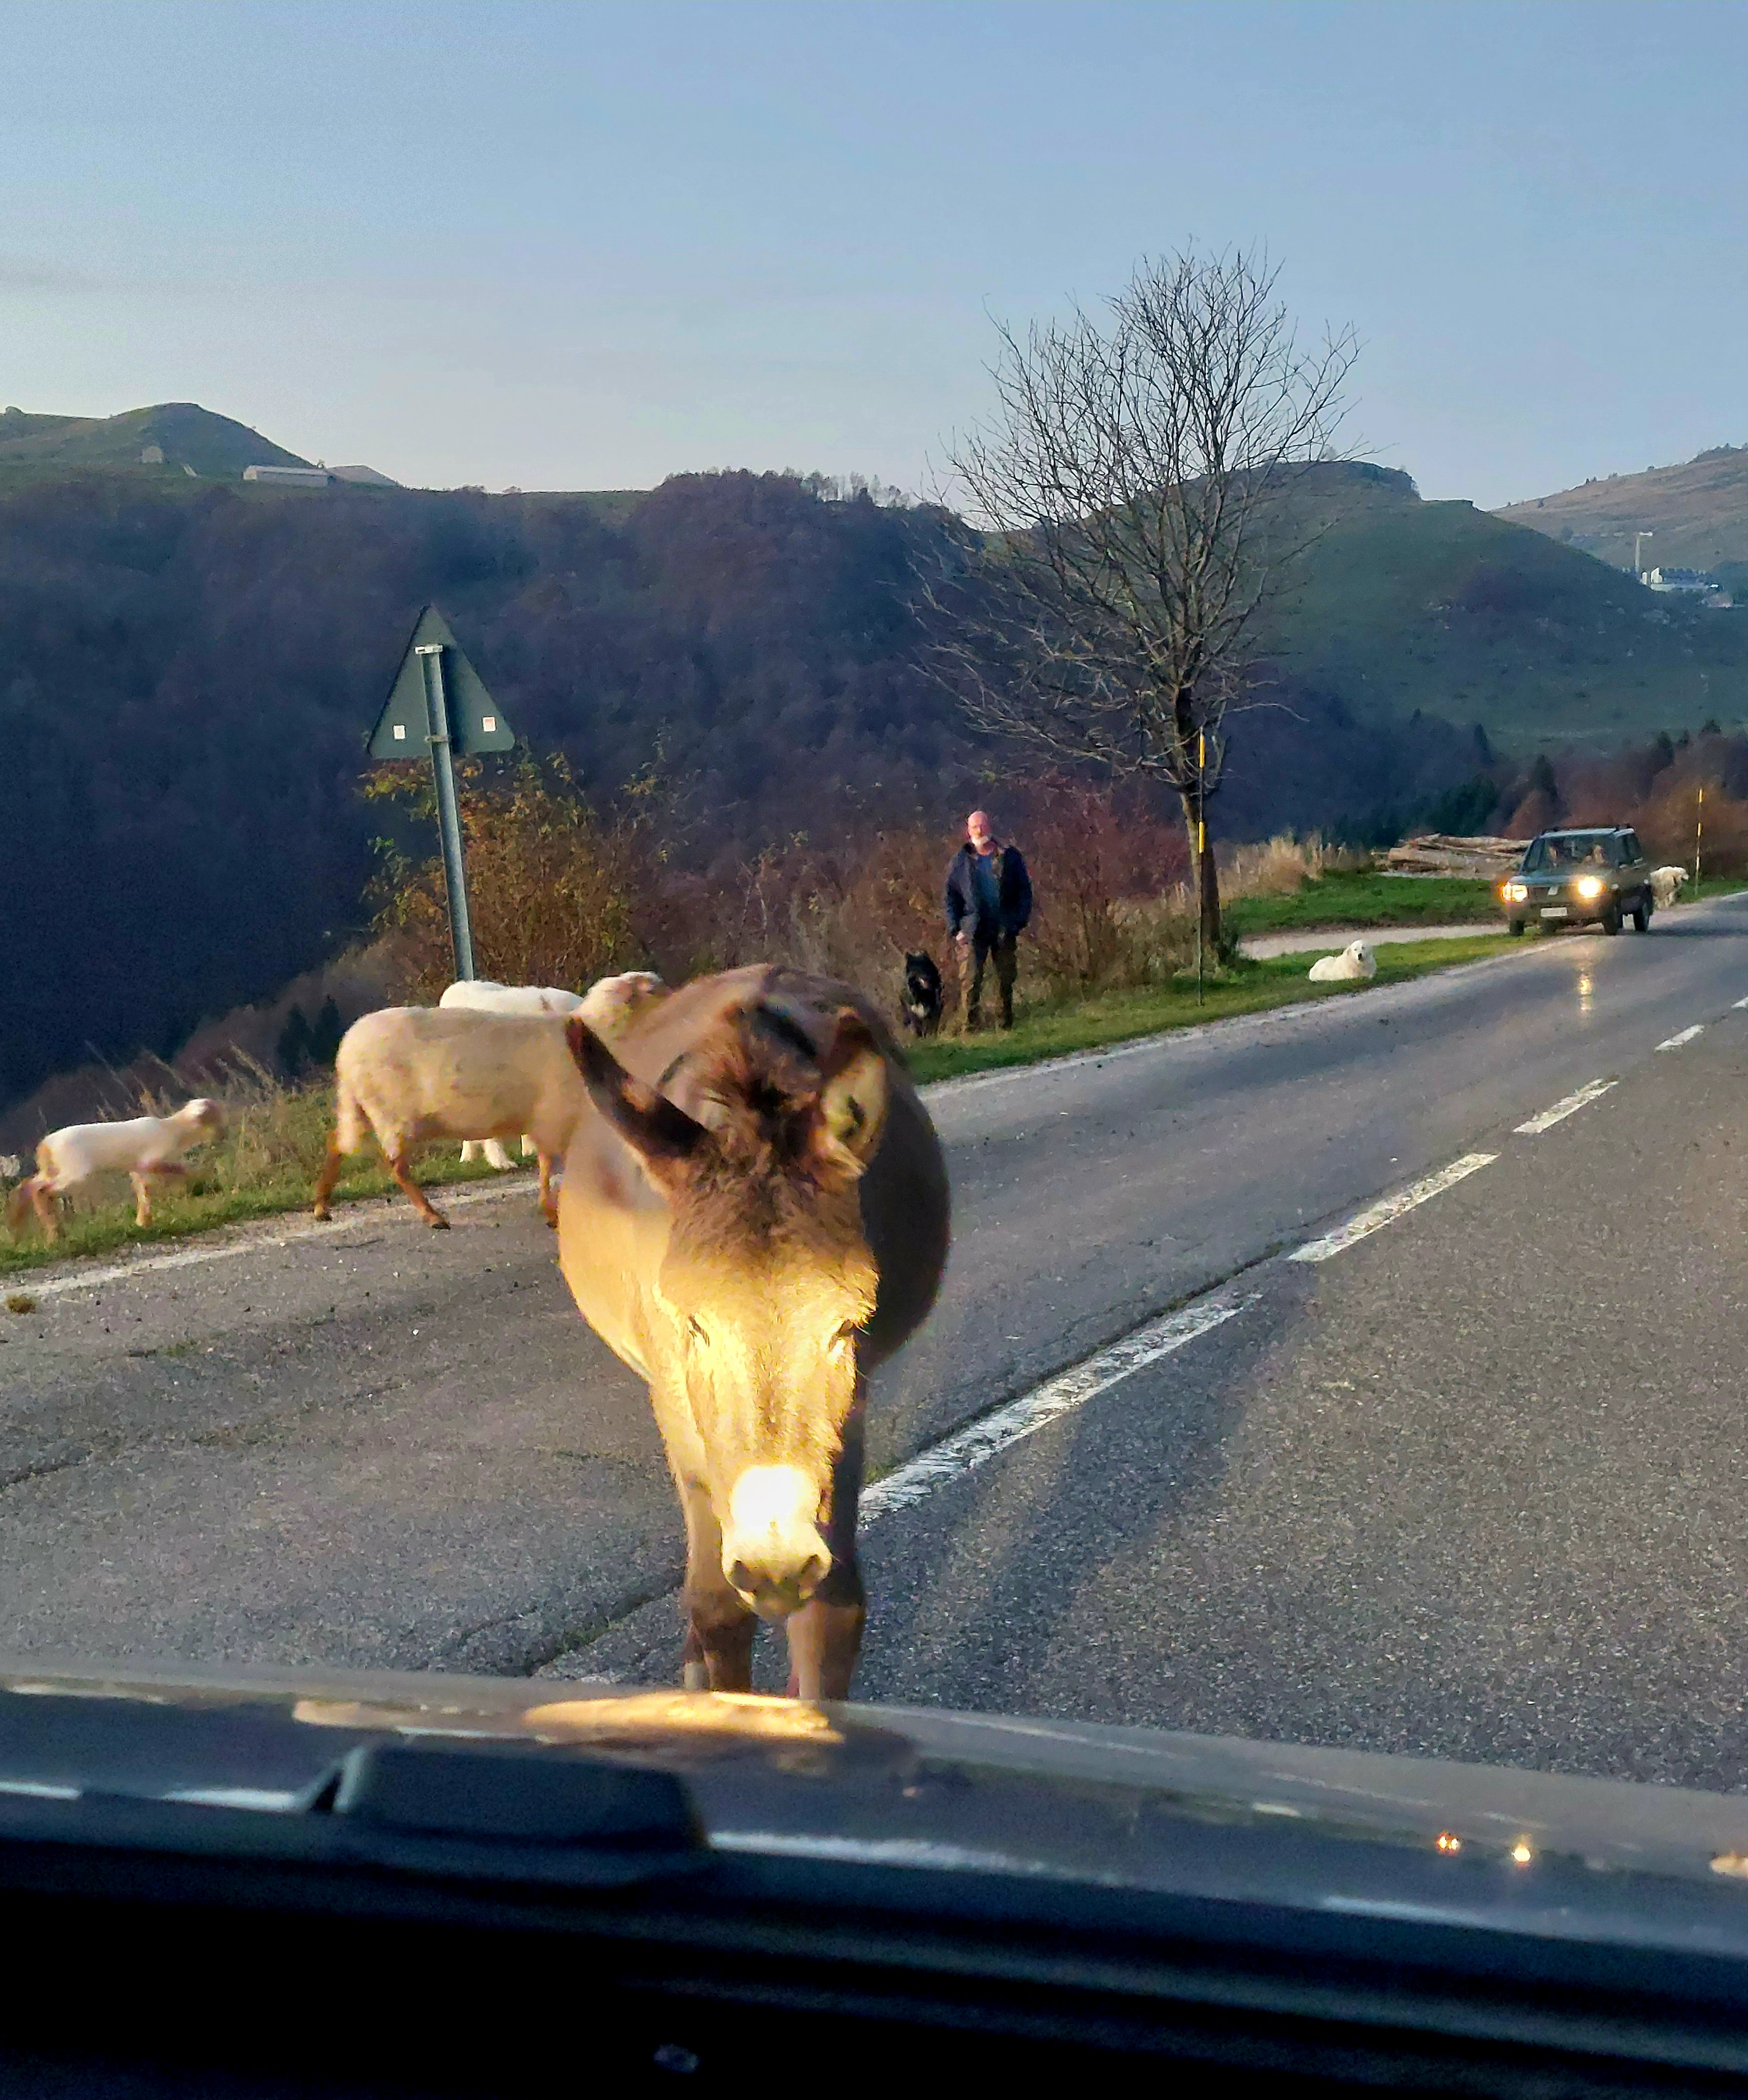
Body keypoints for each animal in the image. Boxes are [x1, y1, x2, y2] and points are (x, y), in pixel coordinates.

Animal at [5, 1100, 226, 1242]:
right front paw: (203, 1178)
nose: (226, 1132)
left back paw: (28, 1225)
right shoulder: (149, 1162)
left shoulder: (136, 1170)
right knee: (39, 1190)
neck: (173, 1129)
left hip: (53, 1169)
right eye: (216, 1113)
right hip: (76, 1173)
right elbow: (178, 1170)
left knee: (26, 1186)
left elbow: (143, 1194)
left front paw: (143, 1222)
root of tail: (46, 1145)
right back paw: (52, 1231)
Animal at [311, 1008, 588, 1229]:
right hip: (391, 1114)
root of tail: (346, 1050)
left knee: (338, 1143)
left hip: (358, 1106)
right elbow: (552, 1166)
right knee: (396, 1167)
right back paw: (434, 1218)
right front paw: (555, 1213)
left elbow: (547, 1164)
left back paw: (321, 1208)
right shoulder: (557, 1117)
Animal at [557, 965, 950, 1701]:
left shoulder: (848, 1408)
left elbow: (832, 1609)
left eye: (847, 1326)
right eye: (694, 1325)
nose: (775, 1563)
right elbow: (717, 1607)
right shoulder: (678, 1402)